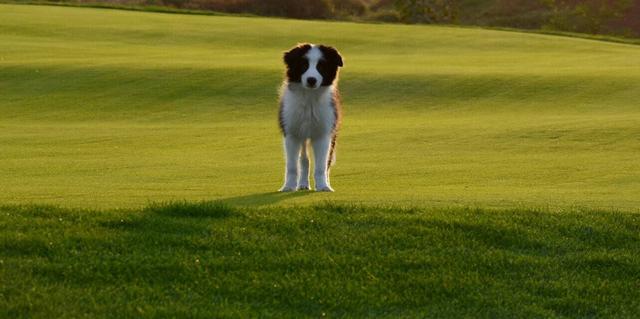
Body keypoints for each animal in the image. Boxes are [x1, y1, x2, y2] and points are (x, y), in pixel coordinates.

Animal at [278, 42, 342, 192]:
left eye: (321, 66)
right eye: (304, 65)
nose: (311, 80)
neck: (310, 98)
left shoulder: (323, 134)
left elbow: (321, 166)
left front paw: (323, 186)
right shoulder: (292, 134)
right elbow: (292, 166)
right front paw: (288, 186)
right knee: (304, 160)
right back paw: (302, 184)